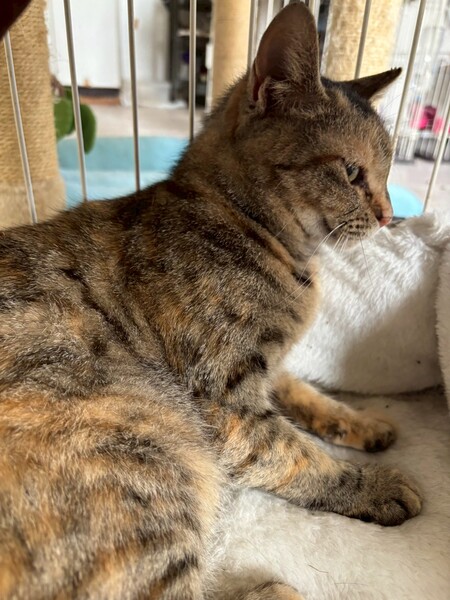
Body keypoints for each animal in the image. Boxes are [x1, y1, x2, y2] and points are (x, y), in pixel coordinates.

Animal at [0, 3, 420, 599]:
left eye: (387, 175)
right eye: (351, 171)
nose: (388, 215)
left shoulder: (268, 369)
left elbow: (307, 394)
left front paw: (362, 422)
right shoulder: (229, 404)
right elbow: (298, 455)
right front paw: (373, 486)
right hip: (152, 451)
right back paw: (281, 591)